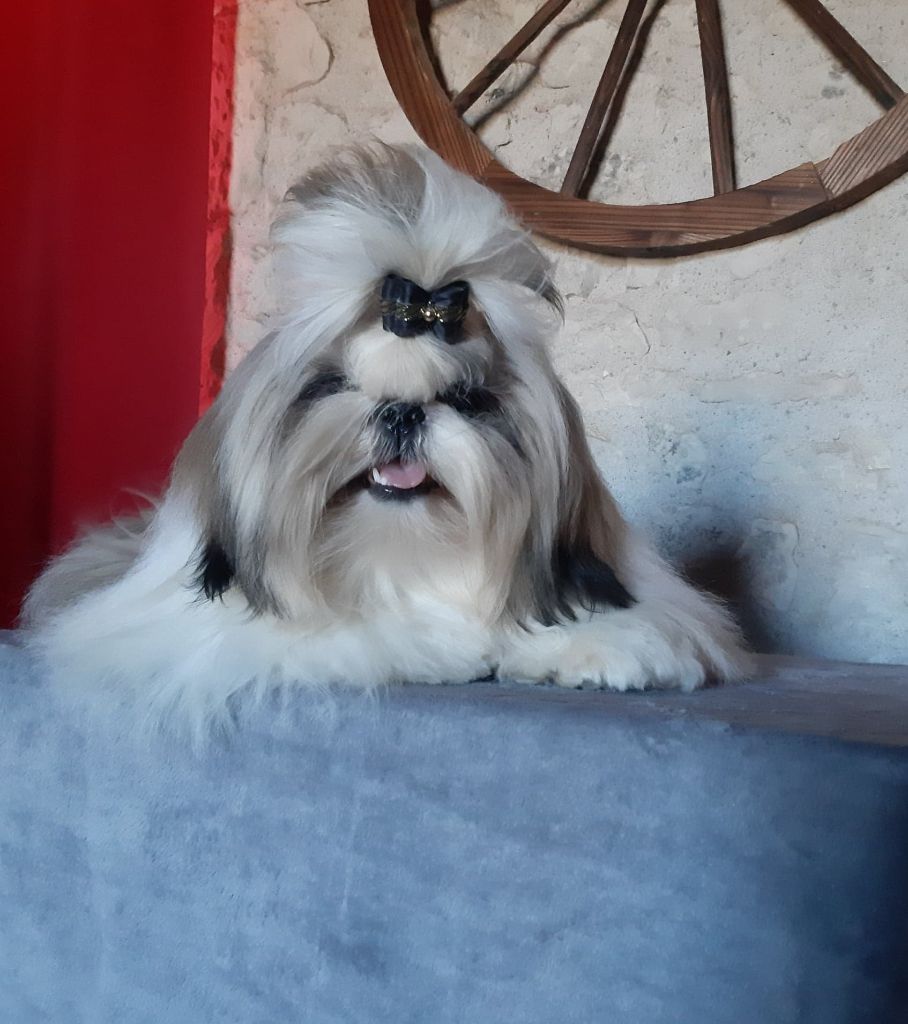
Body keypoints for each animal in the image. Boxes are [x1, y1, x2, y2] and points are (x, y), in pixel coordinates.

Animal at [24, 148, 749, 733]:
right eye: (331, 386)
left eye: (467, 400)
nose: (402, 413)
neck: (399, 561)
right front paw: (437, 647)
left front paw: (599, 650)